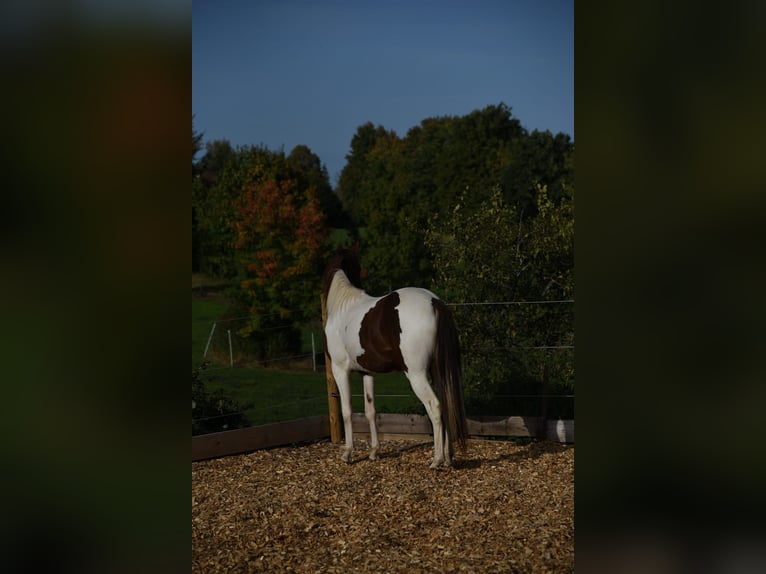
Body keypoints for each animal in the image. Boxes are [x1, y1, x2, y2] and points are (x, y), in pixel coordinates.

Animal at [322, 247, 468, 468]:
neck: (343, 307)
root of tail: (435, 302)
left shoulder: (340, 370)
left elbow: (346, 411)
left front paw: (347, 454)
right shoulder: (367, 373)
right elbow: (370, 411)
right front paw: (374, 452)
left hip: (416, 374)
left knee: (434, 407)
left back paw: (437, 460)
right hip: (438, 372)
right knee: (445, 405)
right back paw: (448, 458)